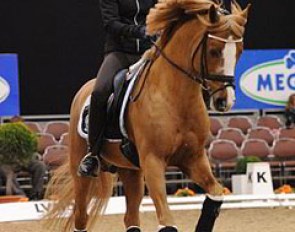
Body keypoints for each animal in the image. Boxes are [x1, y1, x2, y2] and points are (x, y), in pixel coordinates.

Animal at [45, 0, 250, 231]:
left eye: (240, 51)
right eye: (214, 51)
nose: (226, 101)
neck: (175, 97)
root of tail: (84, 90)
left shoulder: (194, 159)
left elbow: (215, 195)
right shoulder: (153, 161)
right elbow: (167, 221)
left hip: (131, 171)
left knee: (131, 217)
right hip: (82, 172)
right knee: (81, 216)